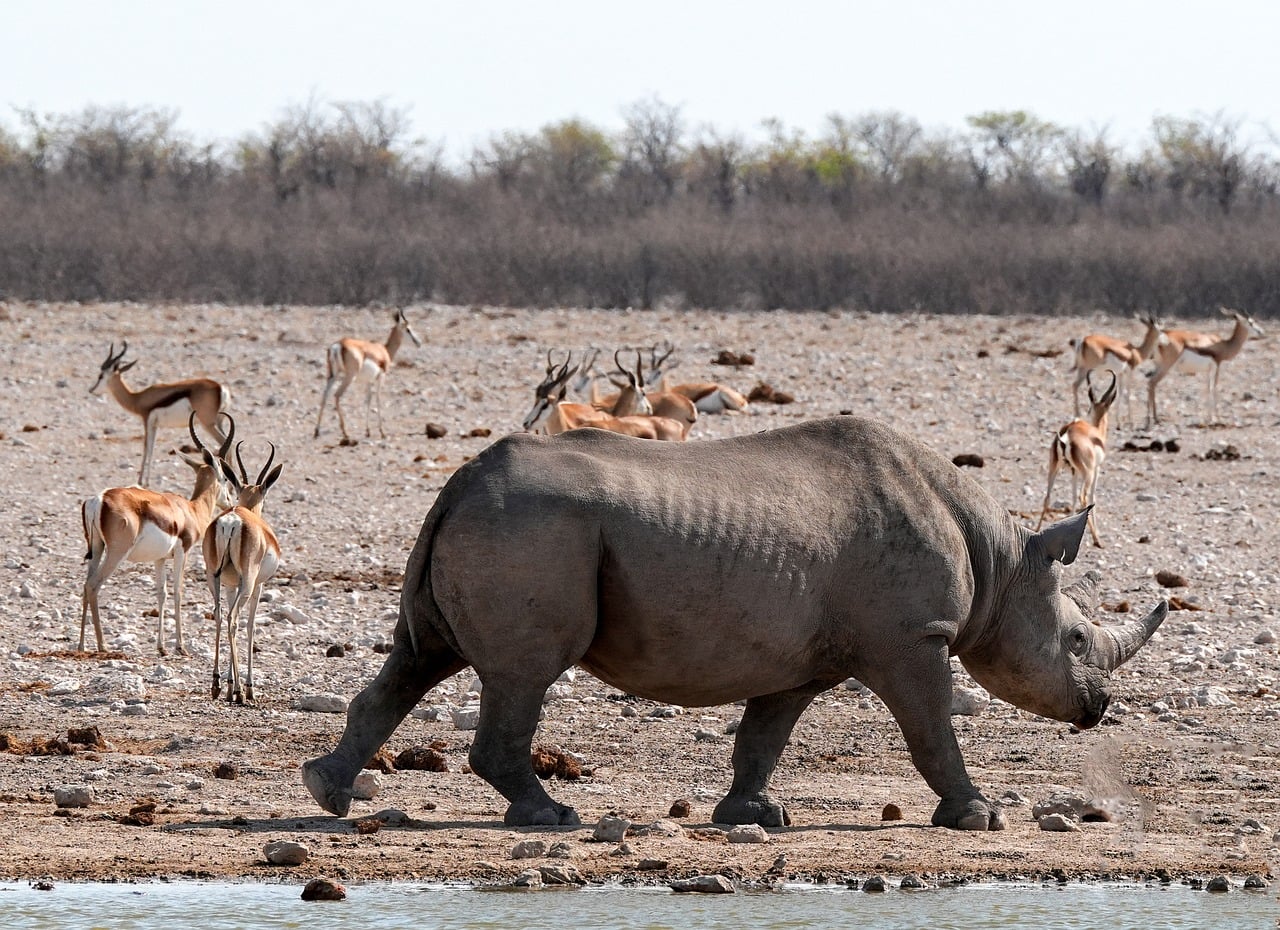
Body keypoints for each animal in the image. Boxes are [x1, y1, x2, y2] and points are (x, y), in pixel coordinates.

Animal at [303, 416, 1166, 830]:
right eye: (1077, 640)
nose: (1100, 708)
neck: (1002, 561)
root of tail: (459, 481)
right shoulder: (912, 637)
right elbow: (931, 732)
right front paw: (978, 817)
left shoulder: (805, 657)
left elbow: (765, 733)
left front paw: (754, 816)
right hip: (532, 532)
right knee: (522, 674)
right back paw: (551, 818)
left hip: (497, 526)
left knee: (419, 658)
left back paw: (326, 793)